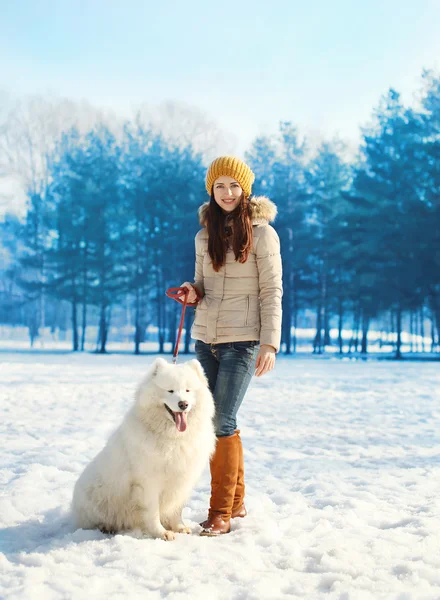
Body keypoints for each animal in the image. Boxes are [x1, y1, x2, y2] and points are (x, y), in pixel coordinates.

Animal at [71, 358, 216, 540]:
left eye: (188, 390)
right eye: (170, 390)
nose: (183, 404)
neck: (173, 438)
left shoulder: (180, 481)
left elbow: (176, 509)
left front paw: (179, 527)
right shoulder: (149, 483)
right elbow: (153, 513)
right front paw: (161, 533)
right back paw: (106, 527)